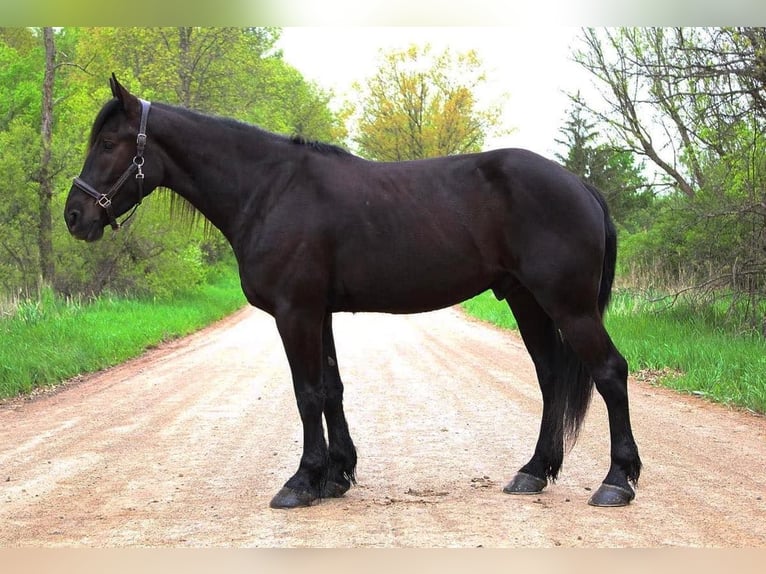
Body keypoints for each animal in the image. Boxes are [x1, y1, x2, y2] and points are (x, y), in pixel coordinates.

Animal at [65, 75, 641, 509]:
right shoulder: (318, 313)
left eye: (109, 144)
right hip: (527, 300)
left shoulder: (295, 313)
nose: (75, 216)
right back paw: (534, 471)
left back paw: (617, 481)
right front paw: (337, 476)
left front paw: (302, 481)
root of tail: (580, 185)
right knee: (550, 378)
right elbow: (332, 389)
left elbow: (306, 392)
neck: (269, 190)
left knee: (609, 372)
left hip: (568, 305)